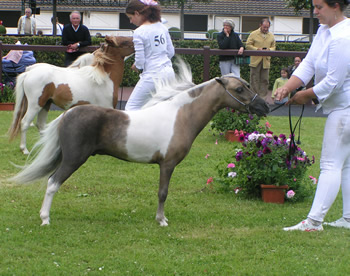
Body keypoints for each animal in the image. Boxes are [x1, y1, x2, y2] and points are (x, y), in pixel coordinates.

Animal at [10, 63, 268, 227]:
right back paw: (45, 218)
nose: (264, 106)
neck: (180, 116)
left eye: (247, 85)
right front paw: (161, 220)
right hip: (73, 159)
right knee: (53, 183)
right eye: (239, 89)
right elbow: (163, 193)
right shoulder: (167, 164)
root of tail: (67, 115)